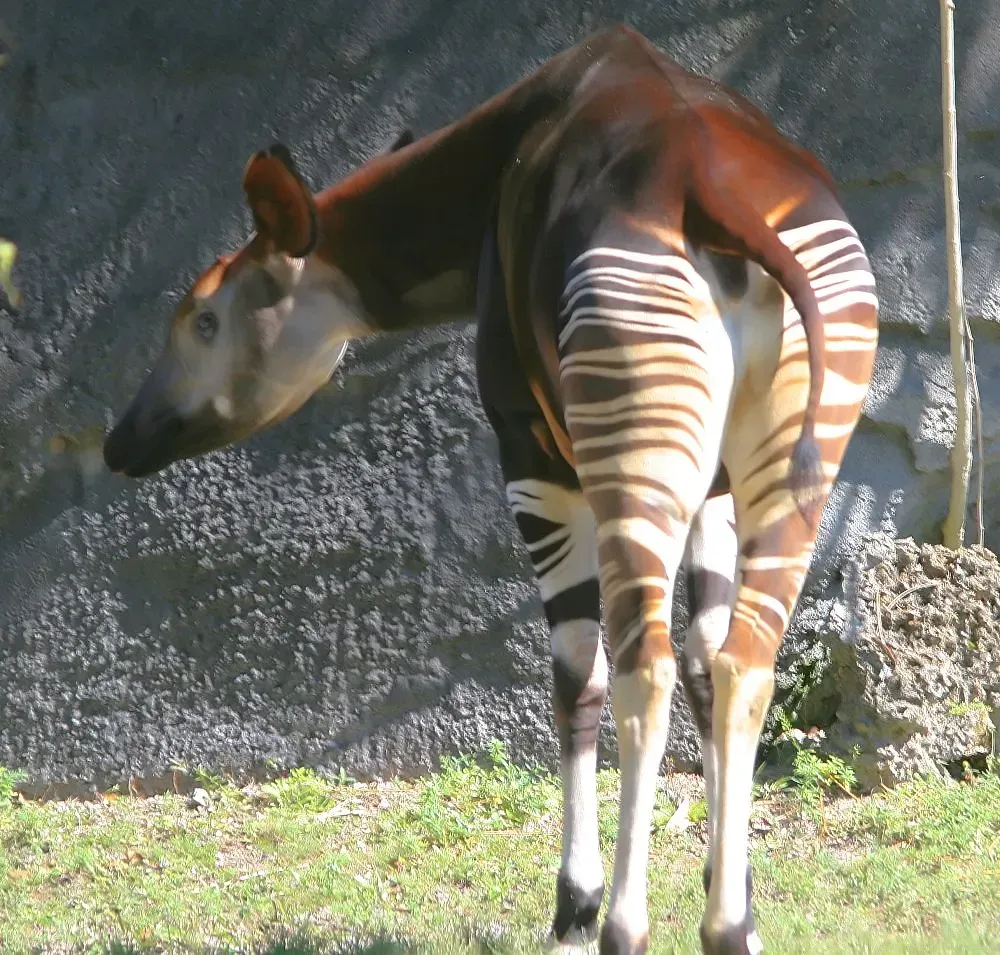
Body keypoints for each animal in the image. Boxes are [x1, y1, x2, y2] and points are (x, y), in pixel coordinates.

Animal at [104, 25, 879, 955]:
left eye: (203, 320)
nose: (119, 440)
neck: (490, 171)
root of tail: (710, 188)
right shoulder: (717, 493)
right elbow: (705, 664)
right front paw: (735, 897)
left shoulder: (529, 451)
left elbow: (574, 679)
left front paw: (575, 904)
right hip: (795, 463)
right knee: (742, 667)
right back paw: (728, 928)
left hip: (630, 452)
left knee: (640, 673)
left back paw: (623, 924)